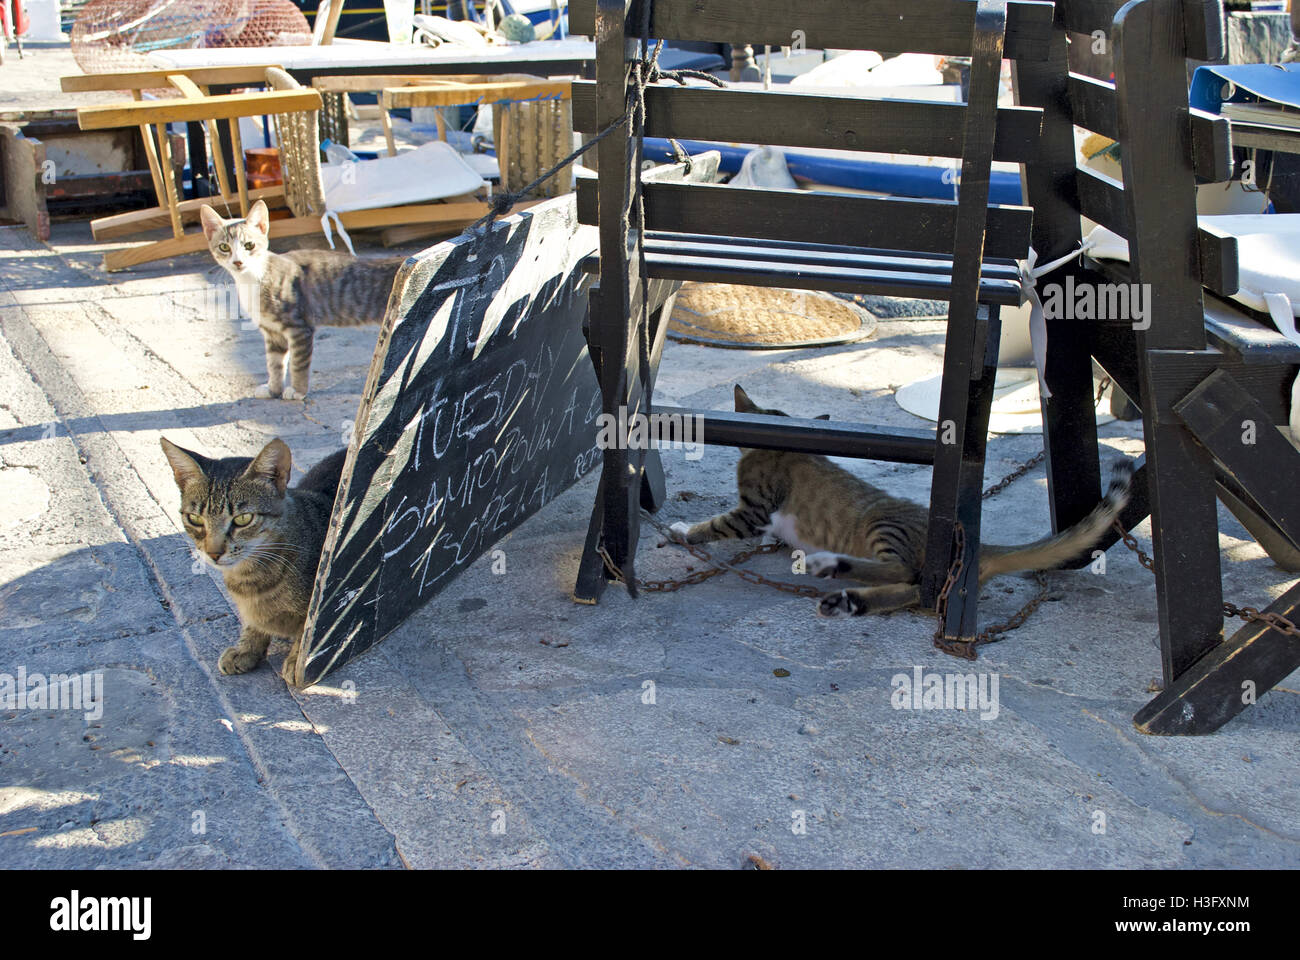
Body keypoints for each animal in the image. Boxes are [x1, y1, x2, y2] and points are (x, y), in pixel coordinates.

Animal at [159, 434, 345, 681]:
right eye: (195, 519)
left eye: (243, 519)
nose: (213, 553)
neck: (249, 578)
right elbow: (251, 624)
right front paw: (247, 648)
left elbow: (307, 632)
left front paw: (296, 660)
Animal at [196, 199, 400, 400]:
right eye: (224, 247)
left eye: (249, 245)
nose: (238, 262)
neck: (253, 279)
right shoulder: (272, 332)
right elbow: (274, 364)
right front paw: (273, 389)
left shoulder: (299, 328)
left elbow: (297, 363)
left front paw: (298, 391)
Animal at [676, 385, 1133, 616]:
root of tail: (977, 544)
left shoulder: (754, 505)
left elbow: (719, 524)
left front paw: (682, 531)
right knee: (911, 589)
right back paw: (851, 600)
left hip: (882, 525)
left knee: (907, 573)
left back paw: (836, 569)